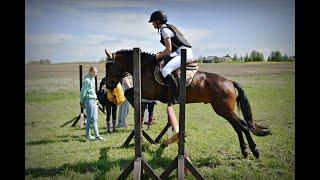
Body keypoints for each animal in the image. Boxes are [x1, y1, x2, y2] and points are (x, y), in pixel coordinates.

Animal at [104, 48, 270, 158]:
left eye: (109, 66)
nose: (109, 86)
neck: (144, 67)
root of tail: (229, 82)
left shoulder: (149, 92)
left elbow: (129, 93)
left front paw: (136, 105)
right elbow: (129, 93)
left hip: (223, 110)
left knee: (243, 126)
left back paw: (254, 151)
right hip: (225, 111)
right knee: (239, 126)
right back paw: (245, 151)